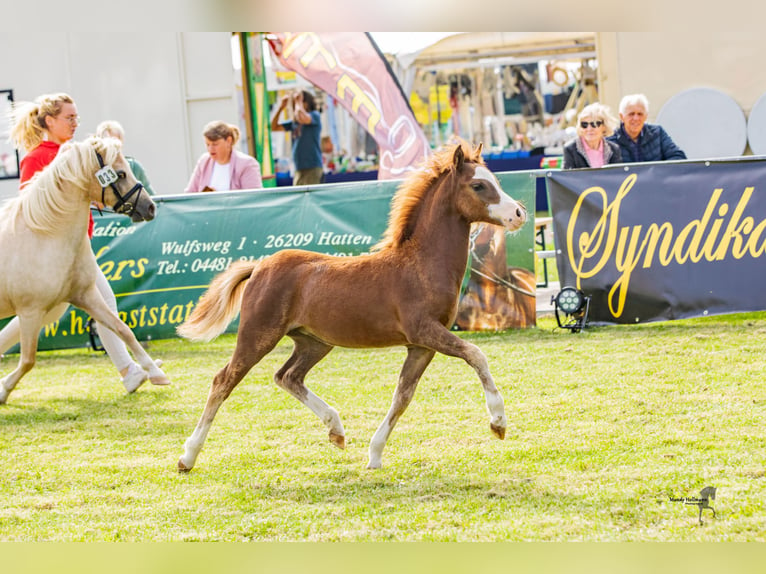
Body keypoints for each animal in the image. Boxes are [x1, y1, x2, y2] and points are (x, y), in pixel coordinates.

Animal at [0, 136, 169, 404]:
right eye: (121, 173)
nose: (150, 207)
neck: (44, 235)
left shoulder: (85, 296)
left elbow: (122, 329)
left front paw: (154, 372)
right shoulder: (30, 312)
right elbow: (28, 360)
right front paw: (3, 390)